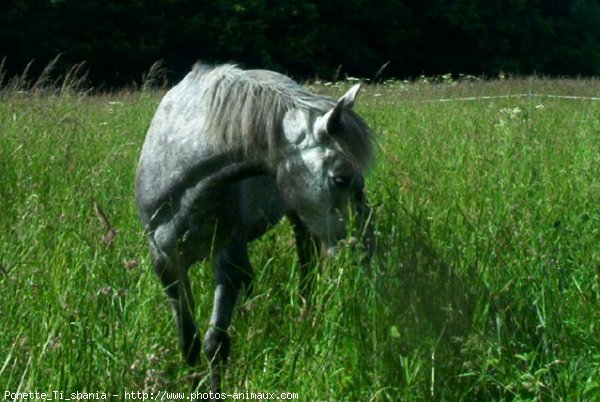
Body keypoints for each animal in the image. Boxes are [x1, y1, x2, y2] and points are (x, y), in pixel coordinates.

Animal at [136, 64, 376, 392]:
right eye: (340, 179)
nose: (365, 249)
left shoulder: (225, 254)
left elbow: (215, 342)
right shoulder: (166, 264)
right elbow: (189, 342)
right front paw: (193, 384)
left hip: (295, 221)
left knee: (306, 266)